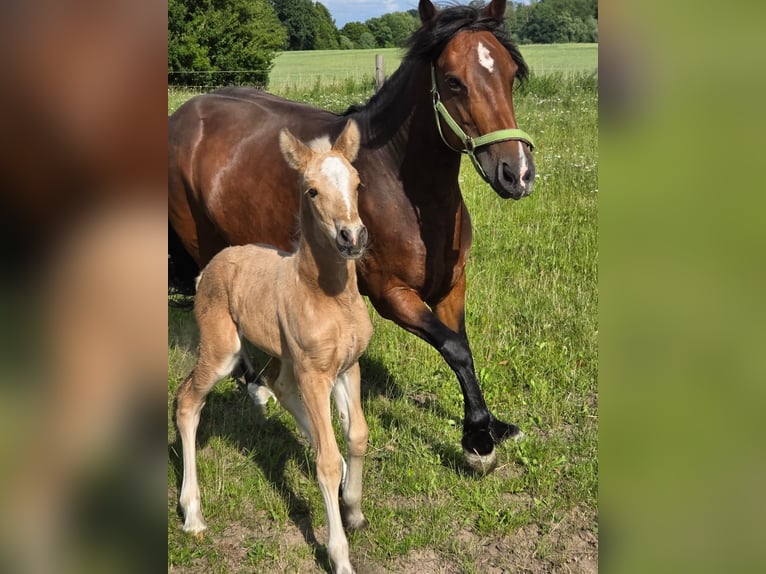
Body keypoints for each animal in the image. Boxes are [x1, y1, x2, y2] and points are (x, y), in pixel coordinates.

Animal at [168, 0, 536, 474]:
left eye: (510, 73)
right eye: (453, 82)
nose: (517, 173)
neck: (401, 185)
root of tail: (182, 116)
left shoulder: (452, 286)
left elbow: (463, 345)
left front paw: (492, 424)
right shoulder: (392, 296)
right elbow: (454, 347)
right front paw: (477, 440)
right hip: (204, 242)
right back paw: (254, 386)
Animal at [176, 120, 372, 574]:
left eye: (357, 183)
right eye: (312, 190)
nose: (352, 236)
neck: (329, 296)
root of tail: (207, 270)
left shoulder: (347, 366)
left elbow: (356, 436)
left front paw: (353, 510)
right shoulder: (315, 375)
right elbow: (327, 461)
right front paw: (340, 557)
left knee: (279, 386)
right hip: (222, 349)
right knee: (186, 400)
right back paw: (192, 514)